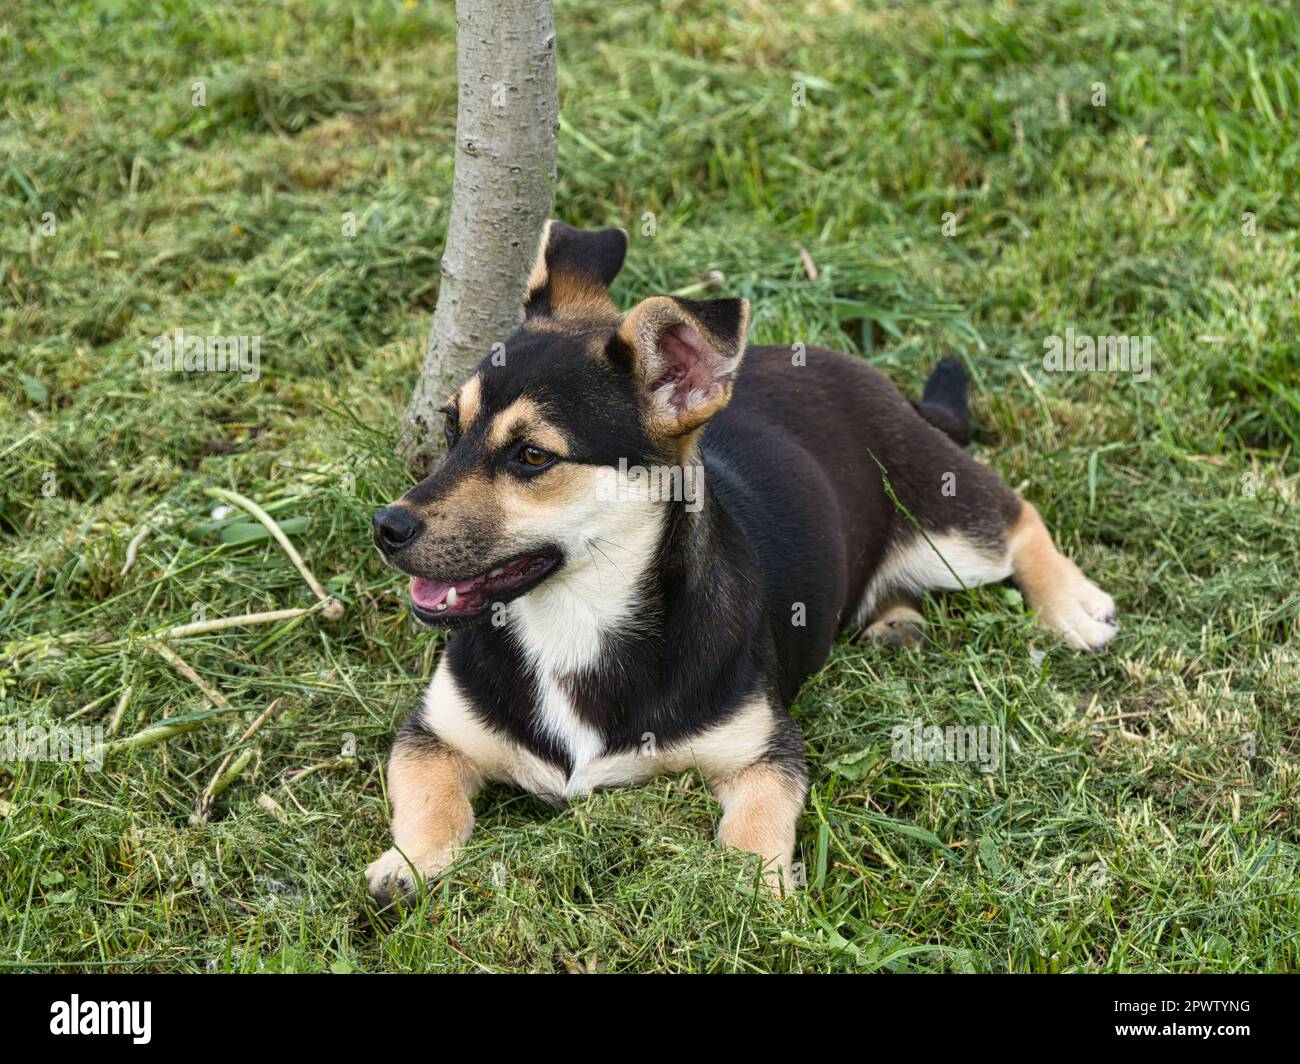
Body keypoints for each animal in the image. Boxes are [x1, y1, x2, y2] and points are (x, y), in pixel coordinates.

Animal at [366, 219, 1118, 900]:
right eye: (450, 427)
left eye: (531, 456)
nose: (386, 528)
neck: (576, 619)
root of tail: (878, 381)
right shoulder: (431, 736)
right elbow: (431, 800)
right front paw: (410, 862)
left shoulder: (764, 751)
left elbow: (755, 825)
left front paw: (751, 887)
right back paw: (895, 621)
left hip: (943, 521)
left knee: (1017, 515)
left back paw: (1073, 606)